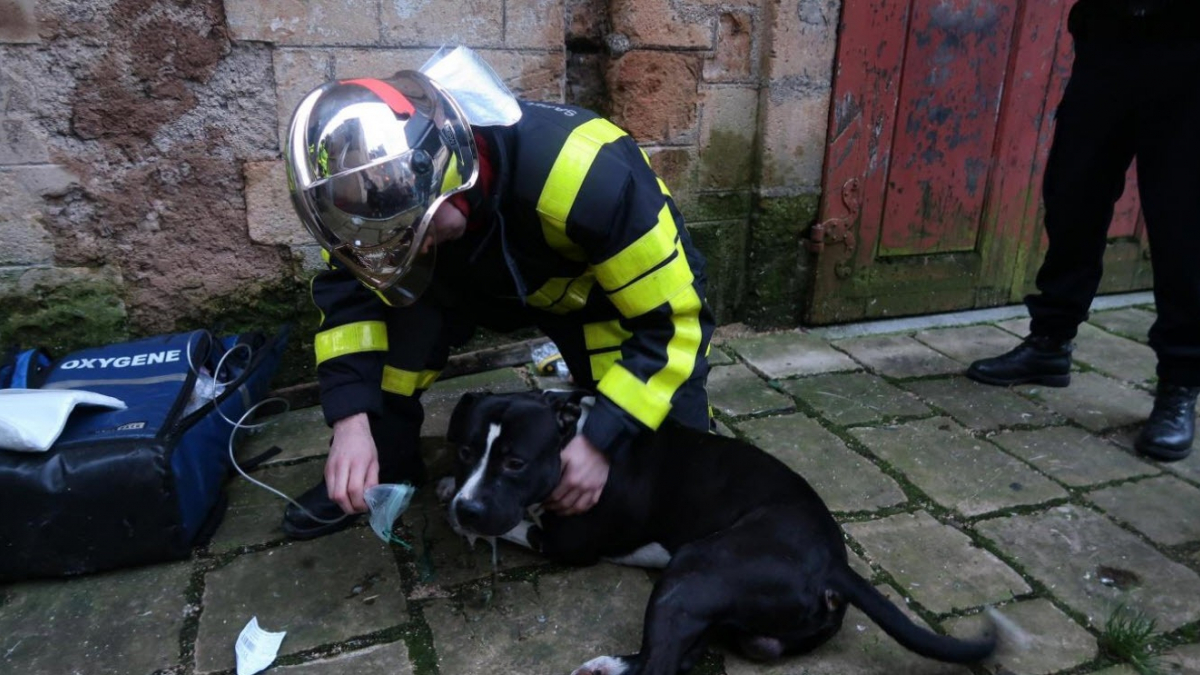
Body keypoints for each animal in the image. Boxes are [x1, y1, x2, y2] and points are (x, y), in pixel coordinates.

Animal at [441, 389, 1003, 672]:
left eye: (515, 462)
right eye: (465, 449)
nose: (466, 510)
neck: (571, 430)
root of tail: (834, 567)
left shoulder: (565, 542)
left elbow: (516, 525)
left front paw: (470, 521)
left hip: (692, 570)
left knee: (661, 666)